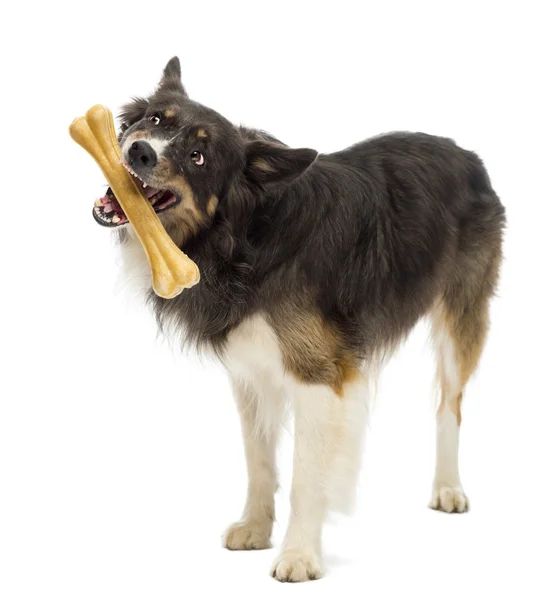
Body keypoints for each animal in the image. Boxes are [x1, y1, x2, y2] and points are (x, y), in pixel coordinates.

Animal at [93, 56, 506, 580]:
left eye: (199, 157)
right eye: (154, 119)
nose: (140, 151)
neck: (246, 239)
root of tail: (467, 153)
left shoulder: (318, 374)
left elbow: (306, 476)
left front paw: (299, 555)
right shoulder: (251, 370)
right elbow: (259, 459)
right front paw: (255, 528)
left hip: (462, 316)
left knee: (449, 404)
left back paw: (448, 487)